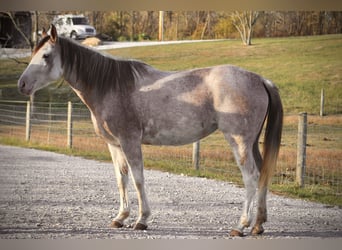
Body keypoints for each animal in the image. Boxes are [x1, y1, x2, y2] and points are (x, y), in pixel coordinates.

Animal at [17, 24, 282, 236]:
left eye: (46, 56)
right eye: (34, 53)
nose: (22, 84)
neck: (110, 87)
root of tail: (260, 79)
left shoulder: (130, 142)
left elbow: (137, 179)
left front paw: (141, 220)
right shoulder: (114, 145)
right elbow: (121, 179)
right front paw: (120, 217)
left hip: (238, 141)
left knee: (251, 177)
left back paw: (241, 225)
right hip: (252, 143)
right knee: (263, 174)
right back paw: (258, 224)